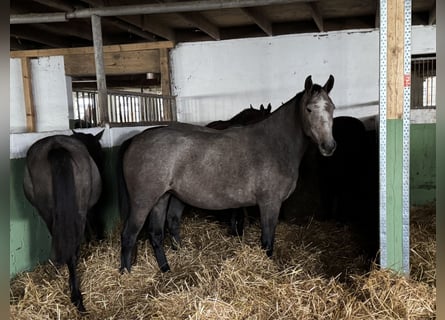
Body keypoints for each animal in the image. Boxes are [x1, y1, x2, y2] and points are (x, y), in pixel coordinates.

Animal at [22, 129, 103, 310]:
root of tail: (56, 146)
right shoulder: (88, 212)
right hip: (77, 214)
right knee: (72, 250)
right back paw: (77, 296)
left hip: (48, 215)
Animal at [119, 75, 334, 272]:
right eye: (309, 109)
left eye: (331, 107)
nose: (329, 146)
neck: (275, 144)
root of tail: (135, 140)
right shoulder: (269, 204)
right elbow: (267, 241)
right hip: (143, 202)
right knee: (129, 235)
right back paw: (126, 273)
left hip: (162, 198)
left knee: (156, 234)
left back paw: (165, 270)